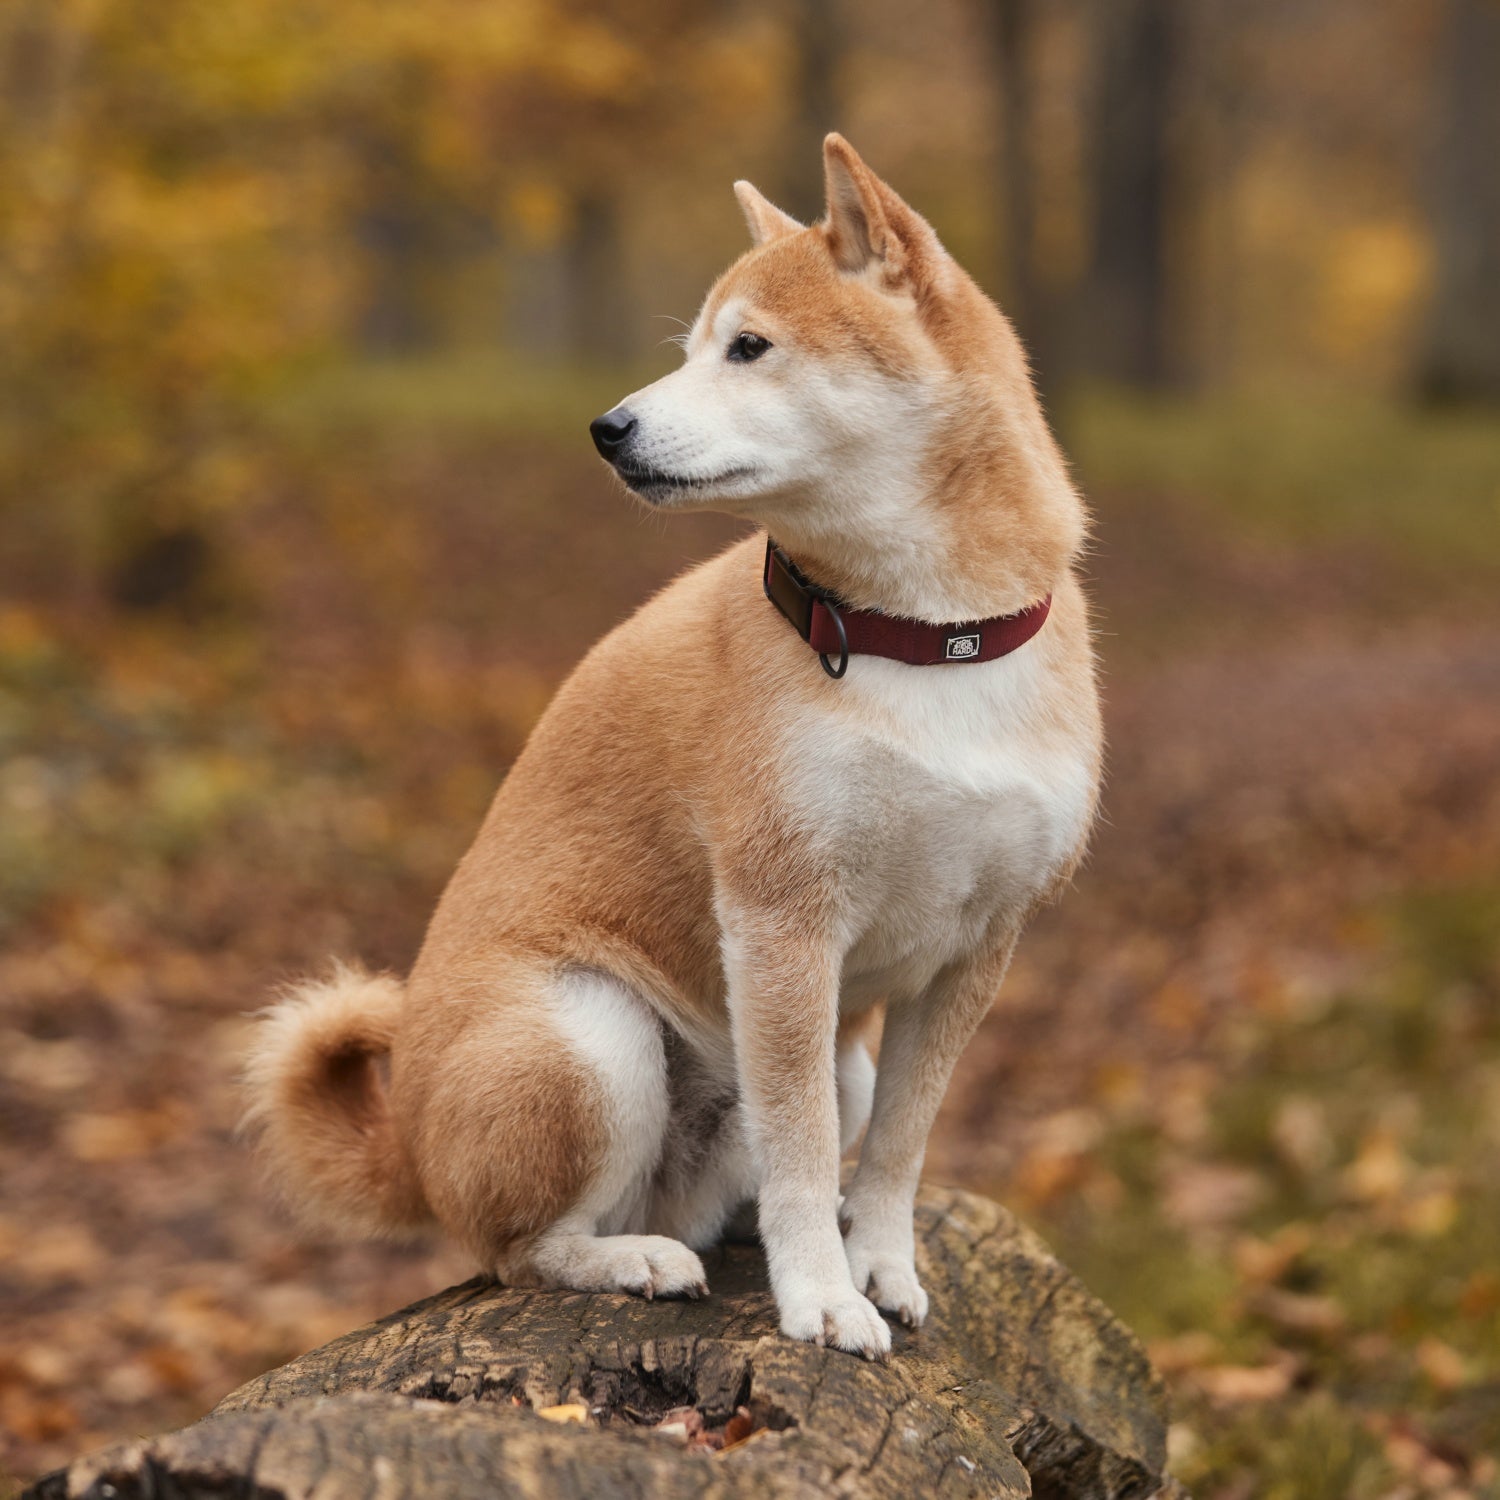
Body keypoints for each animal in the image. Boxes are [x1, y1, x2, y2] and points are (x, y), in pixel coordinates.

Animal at [252, 138, 1104, 1362]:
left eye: (748, 347)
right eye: (694, 348)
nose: (606, 427)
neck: (922, 639)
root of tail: (407, 1145)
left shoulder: (977, 950)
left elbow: (897, 1147)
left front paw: (880, 1262)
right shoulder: (783, 923)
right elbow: (800, 1145)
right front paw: (823, 1296)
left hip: (820, 1056)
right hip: (591, 1039)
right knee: (521, 1250)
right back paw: (632, 1260)